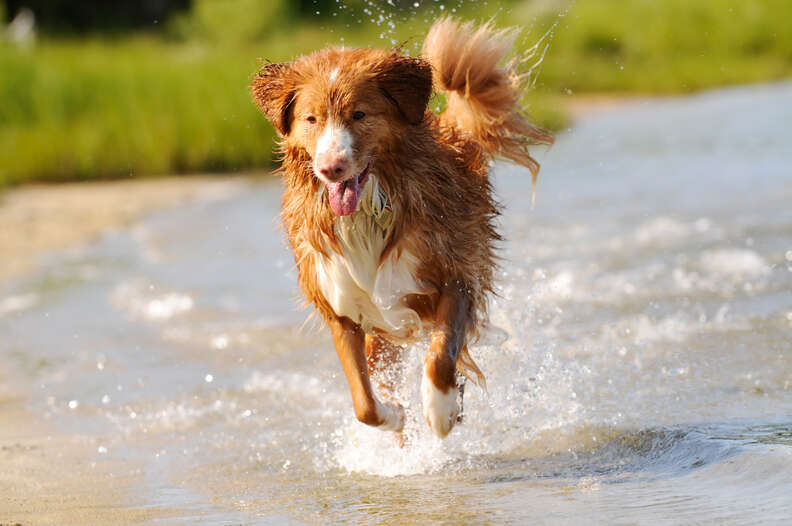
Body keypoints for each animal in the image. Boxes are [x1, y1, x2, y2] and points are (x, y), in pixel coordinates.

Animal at [252, 18, 552, 440]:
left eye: (359, 114)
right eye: (311, 119)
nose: (331, 168)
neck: (366, 217)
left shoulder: (456, 276)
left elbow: (441, 356)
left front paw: (440, 410)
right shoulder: (341, 308)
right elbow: (364, 403)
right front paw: (396, 414)